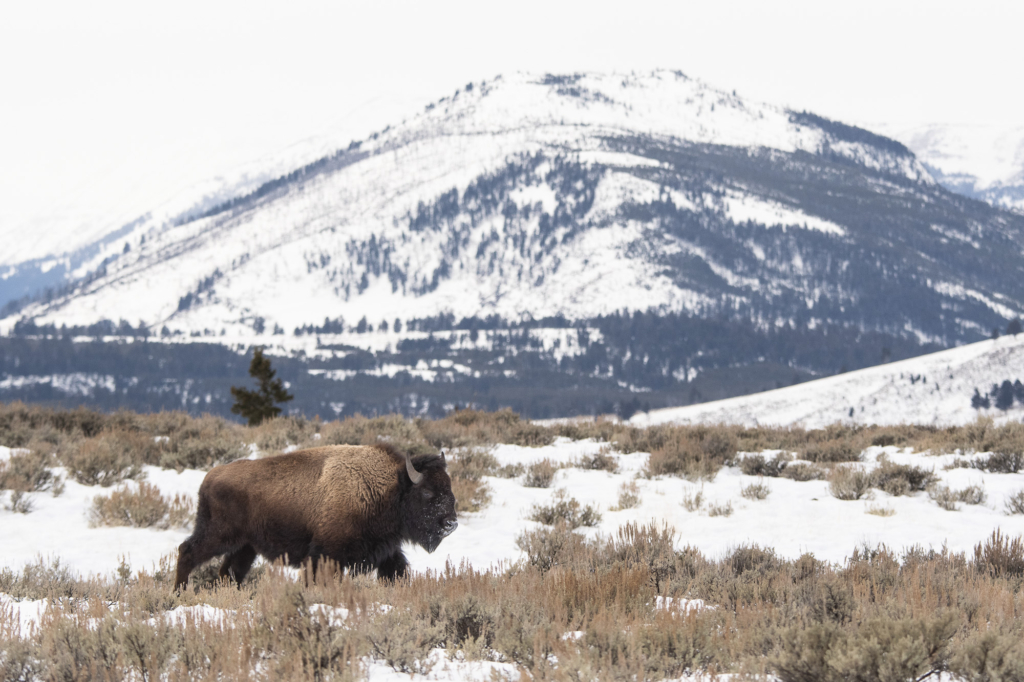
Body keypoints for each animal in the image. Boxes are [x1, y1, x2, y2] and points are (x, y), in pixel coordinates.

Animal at [174, 444, 458, 585]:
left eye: (450, 488)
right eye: (427, 492)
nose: (451, 523)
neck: (388, 488)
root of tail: (211, 477)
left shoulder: (386, 550)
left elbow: (397, 572)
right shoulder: (326, 553)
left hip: (246, 546)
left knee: (229, 571)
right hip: (218, 536)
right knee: (187, 551)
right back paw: (179, 592)